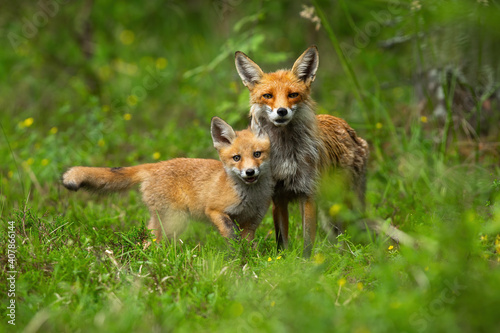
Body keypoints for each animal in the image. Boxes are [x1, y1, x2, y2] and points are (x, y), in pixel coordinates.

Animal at [63, 116, 274, 241]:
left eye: (257, 154)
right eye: (237, 158)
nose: (249, 172)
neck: (250, 198)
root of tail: (155, 165)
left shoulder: (253, 222)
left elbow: (247, 246)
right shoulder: (213, 210)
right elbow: (230, 233)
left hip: (162, 220)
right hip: (175, 220)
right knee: (153, 244)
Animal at [233, 45, 368, 255]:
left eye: (293, 94)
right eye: (268, 96)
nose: (281, 111)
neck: (285, 156)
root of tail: (345, 126)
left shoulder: (308, 194)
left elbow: (307, 242)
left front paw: (306, 262)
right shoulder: (277, 197)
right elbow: (282, 241)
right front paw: (284, 260)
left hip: (345, 201)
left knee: (347, 232)